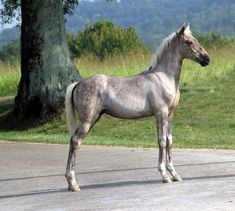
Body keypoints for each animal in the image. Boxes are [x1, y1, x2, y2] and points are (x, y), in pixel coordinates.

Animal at [63, 24, 209, 191]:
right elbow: (161, 141)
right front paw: (164, 176)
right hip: (87, 121)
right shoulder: (160, 114)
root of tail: (78, 83)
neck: (164, 77)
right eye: (189, 42)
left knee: (74, 141)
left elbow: (169, 141)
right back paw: (73, 183)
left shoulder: (170, 114)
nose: (207, 59)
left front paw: (175, 174)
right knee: (75, 141)